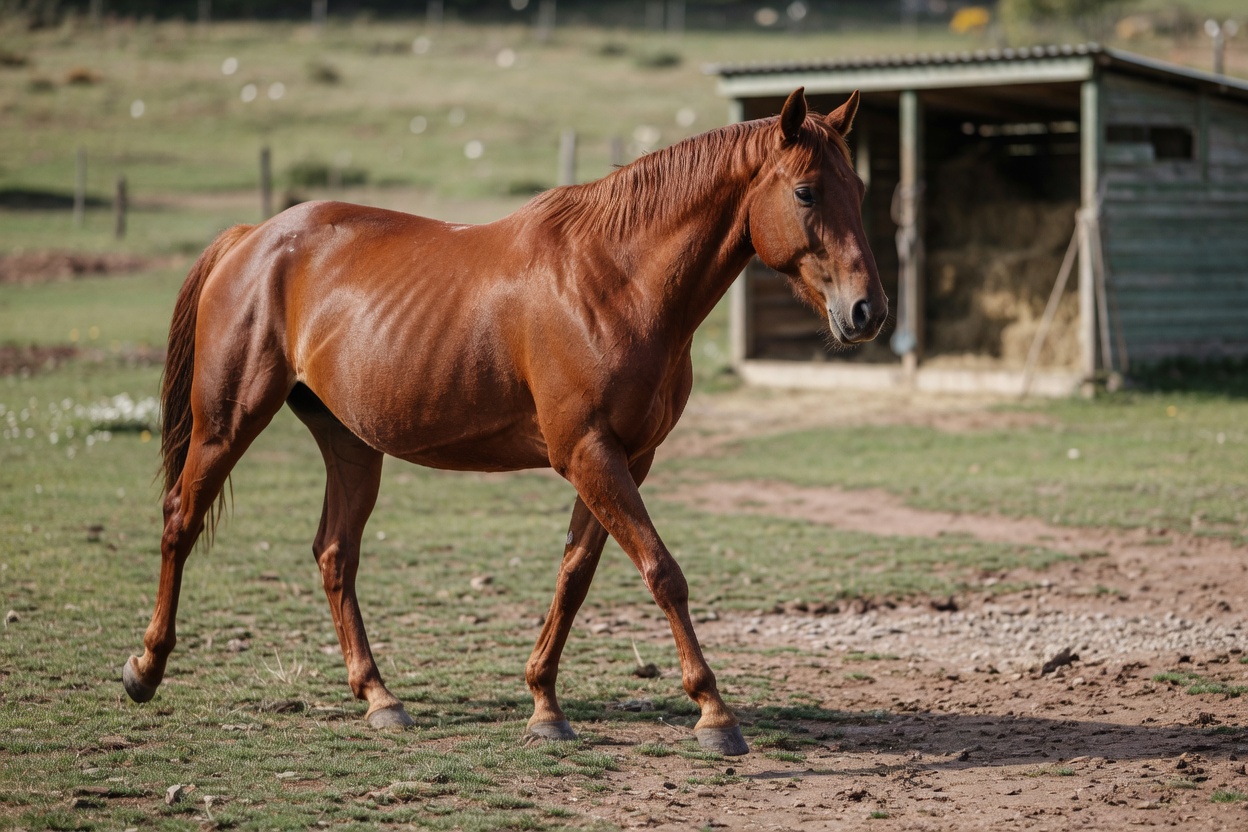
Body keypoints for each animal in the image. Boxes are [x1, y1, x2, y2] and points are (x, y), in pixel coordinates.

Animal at [121, 88, 886, 756]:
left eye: (860, 190)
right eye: (806, 192)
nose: (868, 311)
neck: (616, 279)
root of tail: (253, 237)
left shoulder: (622, 458)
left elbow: (576, 575)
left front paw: (544, 703)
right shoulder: (588, 452)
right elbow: (662, 572)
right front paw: (714, 713)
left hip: (351, 444)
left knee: (335, 554)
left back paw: (379, 697)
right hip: (228, 423)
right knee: (180, 520)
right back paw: (146, 669)